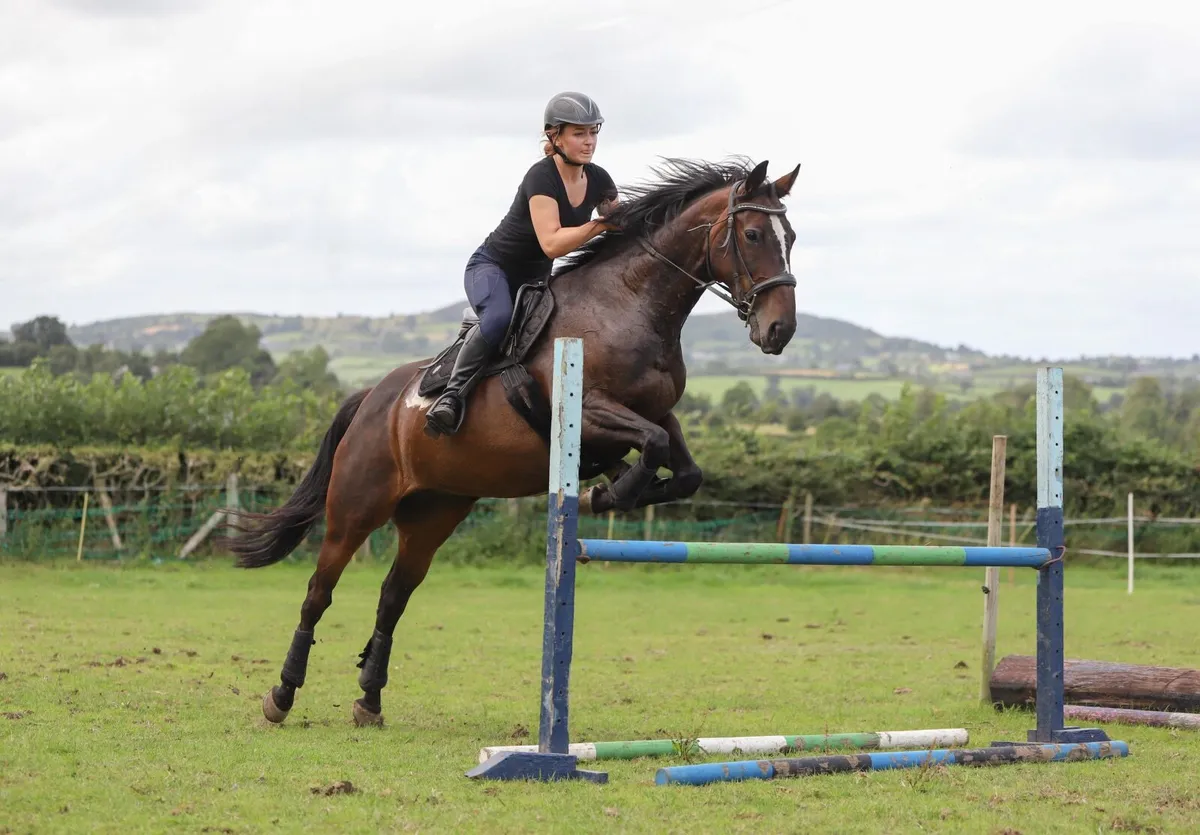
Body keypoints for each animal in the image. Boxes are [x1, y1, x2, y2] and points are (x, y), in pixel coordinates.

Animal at [225, 156, 802, 728]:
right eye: (753, 234)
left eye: (791, 236)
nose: (780, 331)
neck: (629, 306)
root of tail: (372, 399)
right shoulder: (590, 410)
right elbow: (654, 445)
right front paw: (604, 493)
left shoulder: (658, 412)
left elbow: (683, 469)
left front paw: (610, 489)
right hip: (356, 507)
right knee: (318, 593)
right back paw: (282, 695)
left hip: (435, 511)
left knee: (393, 595)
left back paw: (369, 699)